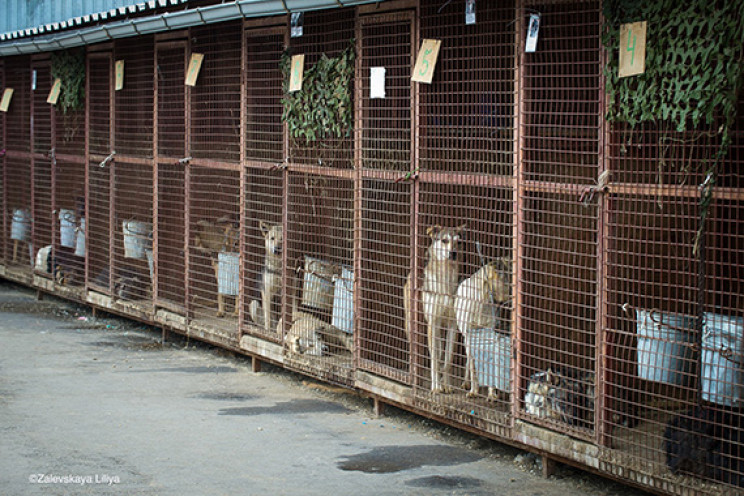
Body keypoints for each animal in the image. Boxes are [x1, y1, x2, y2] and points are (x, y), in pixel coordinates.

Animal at [404, 224, 462, 392]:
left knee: (441, 351)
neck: (445, 278)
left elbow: (447, 359)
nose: (453, 253)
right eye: (444, 241)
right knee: (415, 351)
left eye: (459, 242)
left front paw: (446, 385)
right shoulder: (433, 323)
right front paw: (436, 387)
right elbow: (435, 360)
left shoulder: (452, 325)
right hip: (412, 325)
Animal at [454, 258, 512, 402]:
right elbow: (473, 367)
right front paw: (473, 391)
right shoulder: (470, 336)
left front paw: (492, 394)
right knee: (469, 361)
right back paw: (466, 383)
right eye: (506, 279)